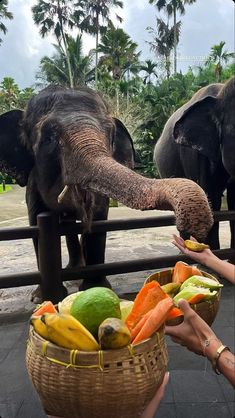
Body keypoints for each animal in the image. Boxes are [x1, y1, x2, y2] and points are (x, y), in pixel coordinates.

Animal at [0, 85, 213, 300]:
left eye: (109, 134)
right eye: (49, 138)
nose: (190, 229)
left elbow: (98, 220)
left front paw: (95, 287)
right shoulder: (32, 183)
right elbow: (36, 220)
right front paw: (41, 298)